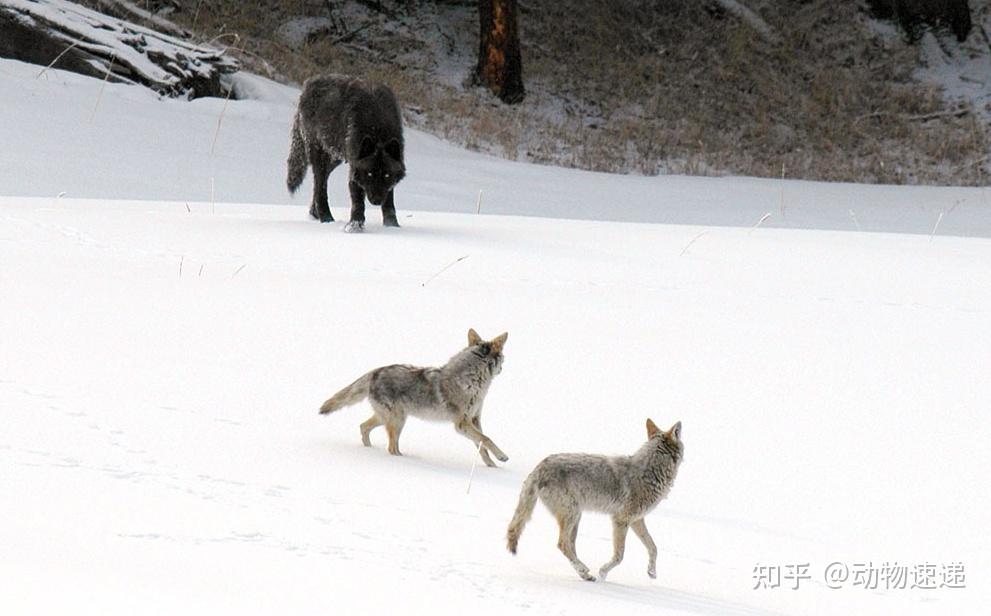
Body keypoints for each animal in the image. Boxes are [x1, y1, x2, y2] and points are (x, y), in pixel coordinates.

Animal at [286, 74, 406, 232]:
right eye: (369, 174)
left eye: (386, 175)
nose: (376, 200)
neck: (377, 129)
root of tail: (307, 84)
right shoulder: (355, 168)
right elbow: (358, 202)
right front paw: (355, 227)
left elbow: (389, 202)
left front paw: (392, 226)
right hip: (320, 156)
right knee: (320, 187)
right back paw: (326, 219)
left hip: (335, 158)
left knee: (321, 181)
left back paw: (314, 214)